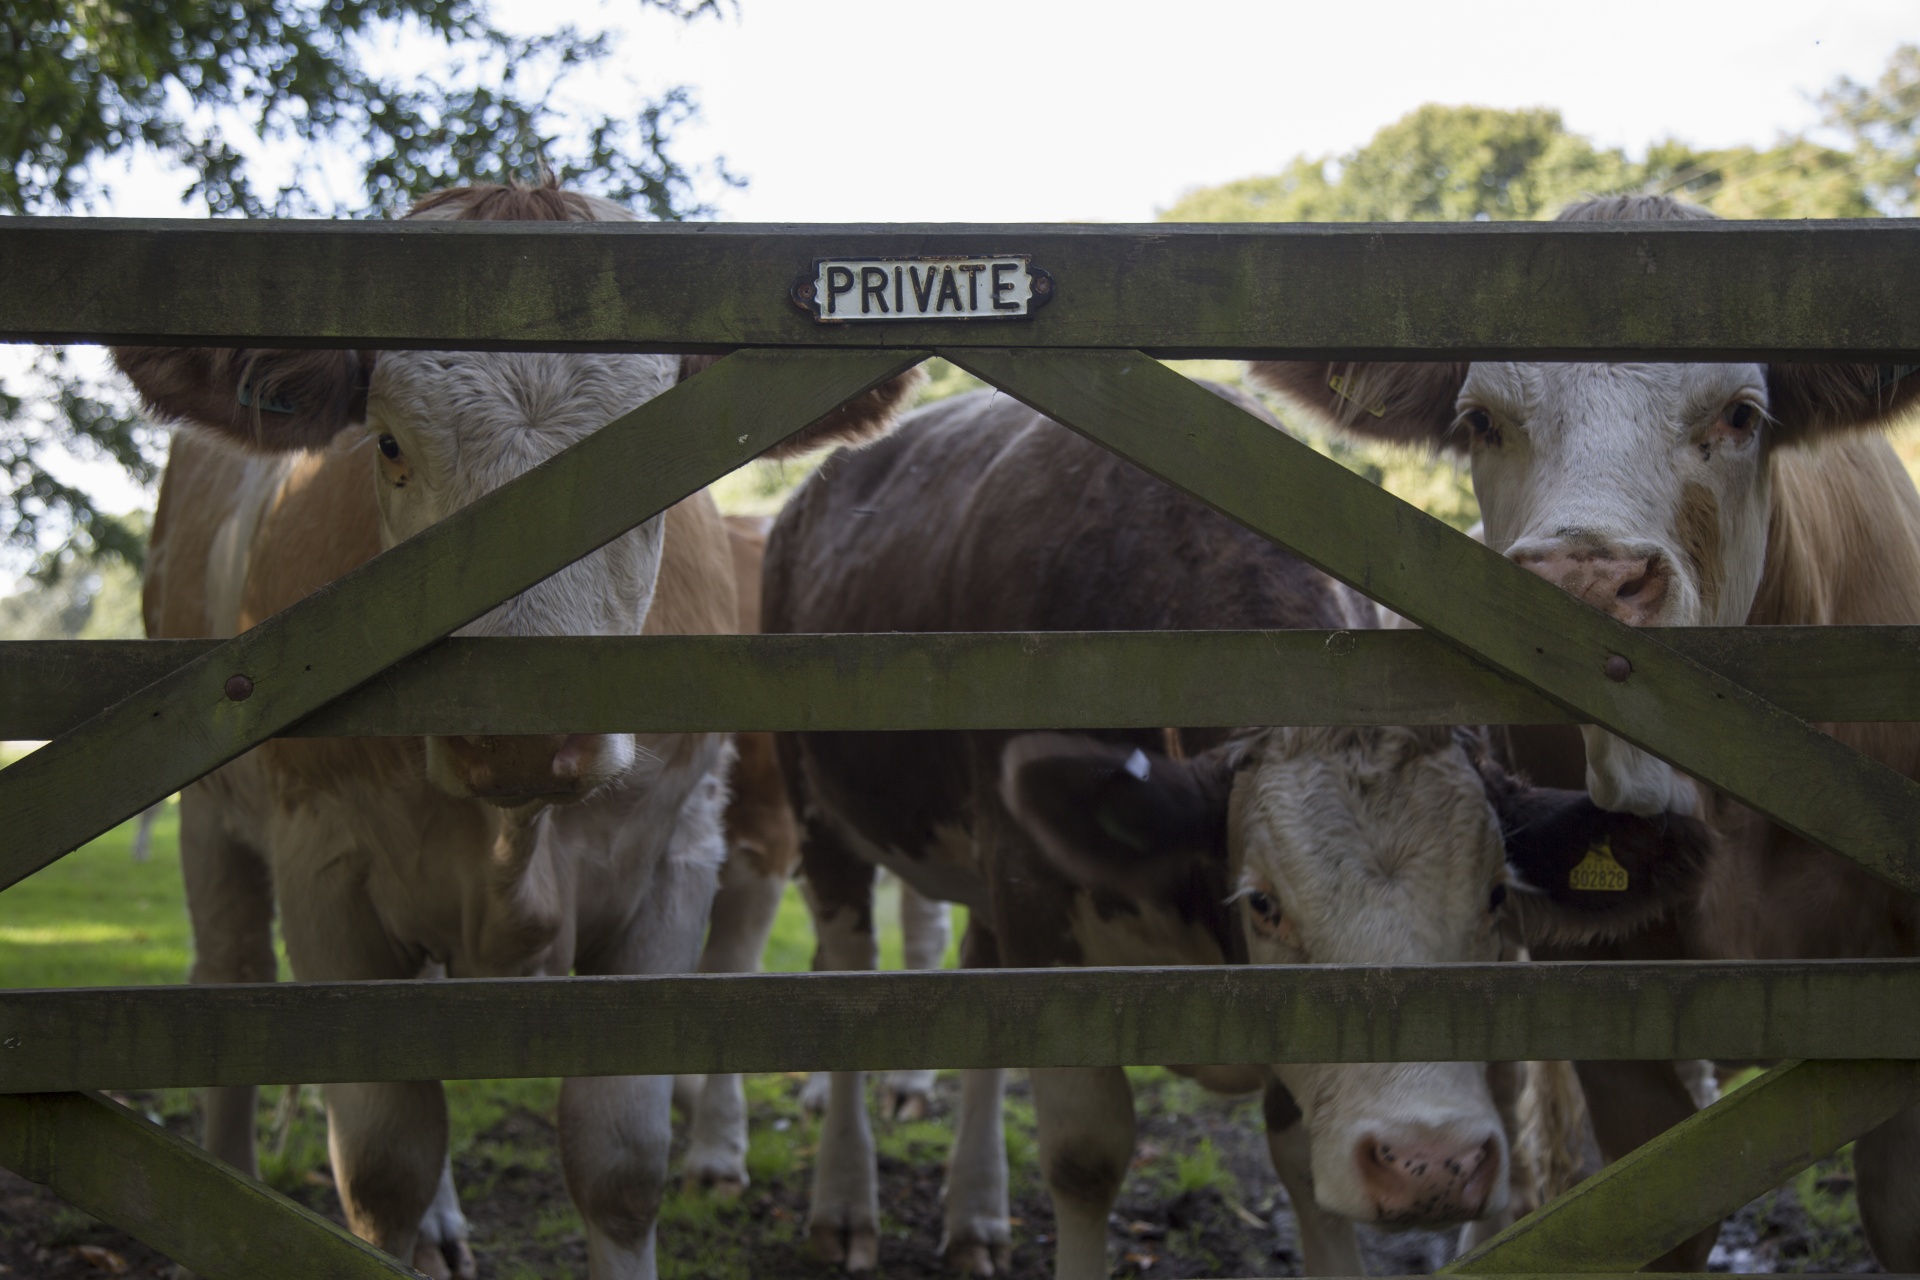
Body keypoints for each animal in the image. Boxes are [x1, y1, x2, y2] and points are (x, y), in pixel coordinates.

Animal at [123, 177, 917, 1280]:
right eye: (387, 444)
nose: (517, 737)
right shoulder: (324, 865)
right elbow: (384, 1166)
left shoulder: (674, 856)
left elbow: (618, 1163)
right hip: (211, 820)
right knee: (229, 987)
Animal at [756, 391, 1704, 1280]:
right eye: (1265, 905)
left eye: (1497, 896)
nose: (1430, 1161)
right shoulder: (1035, 903)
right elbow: (1085, 1154)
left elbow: (1304, 1168)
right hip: (820, 813)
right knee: (846, 975)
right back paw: (845, 1205)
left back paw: (975, 1216)